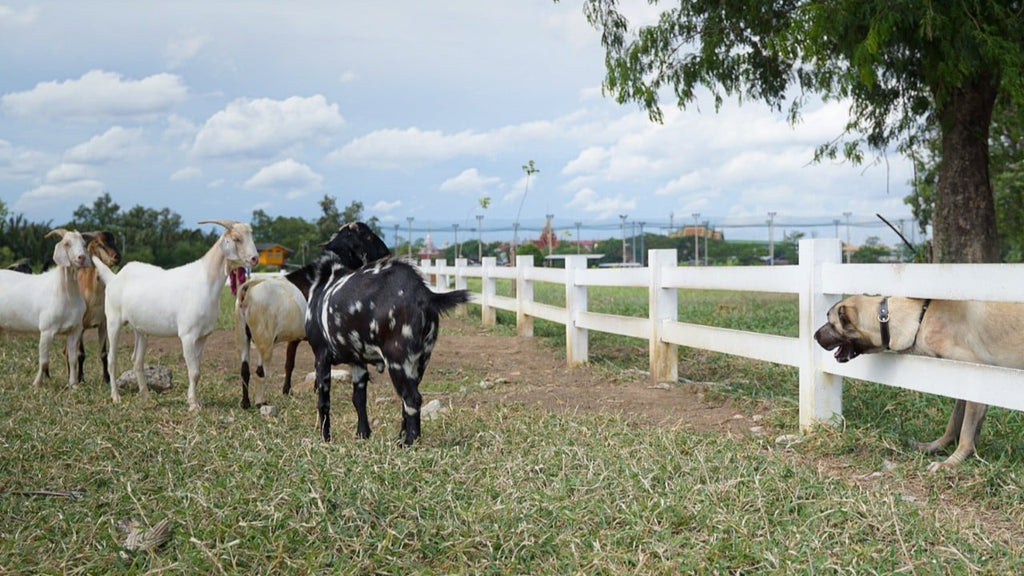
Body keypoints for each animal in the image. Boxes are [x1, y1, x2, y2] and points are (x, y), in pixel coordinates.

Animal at [0, 228, 94, 385]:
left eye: (84, 243)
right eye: (67, 243)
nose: (81, 257)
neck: (65, 294)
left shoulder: (75, 330)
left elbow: (73, 359)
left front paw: (73, 384)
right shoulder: (46, 330)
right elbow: (44, 361)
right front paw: (37, 384)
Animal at [96, 218, 260, 407]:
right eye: (237, 239)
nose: (255, 258)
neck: (206, 281)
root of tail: (115, 278)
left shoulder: (203, 336)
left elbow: (197, 371)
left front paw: (193, 400)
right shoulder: (187, 335)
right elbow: (194, 371)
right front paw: (193, 405)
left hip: (140, 329)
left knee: (137, 360)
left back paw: (146, 396)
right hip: (113, 321)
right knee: (111, 359)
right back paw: (116, 397)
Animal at [234, 274, 305, 405]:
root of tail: (248, 289)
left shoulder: (295, 338)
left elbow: (289, 363)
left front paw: (286, 391)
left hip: (242, 336)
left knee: (244, 369)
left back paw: (245, 403)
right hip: (265, 342)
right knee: (260, 371)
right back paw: (259, 403)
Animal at [303, 252, 471, 444]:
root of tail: (423, 293)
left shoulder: (321, 357)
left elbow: (323, 402)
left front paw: (325, 438)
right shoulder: (358, 363)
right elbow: (359, 399)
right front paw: (363, 434)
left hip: (397, 361)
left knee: (412, 399)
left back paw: (410, 441)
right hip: (419, 363)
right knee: (406, 401)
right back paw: (401, 437)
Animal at [819, 295, 1024, 471]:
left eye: (831, 323)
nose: (814, 336)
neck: (919, 319)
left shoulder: (975, 379)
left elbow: (966, 431)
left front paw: (951, 462)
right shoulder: (961, 383)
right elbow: (955, 423)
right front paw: (939, 447)